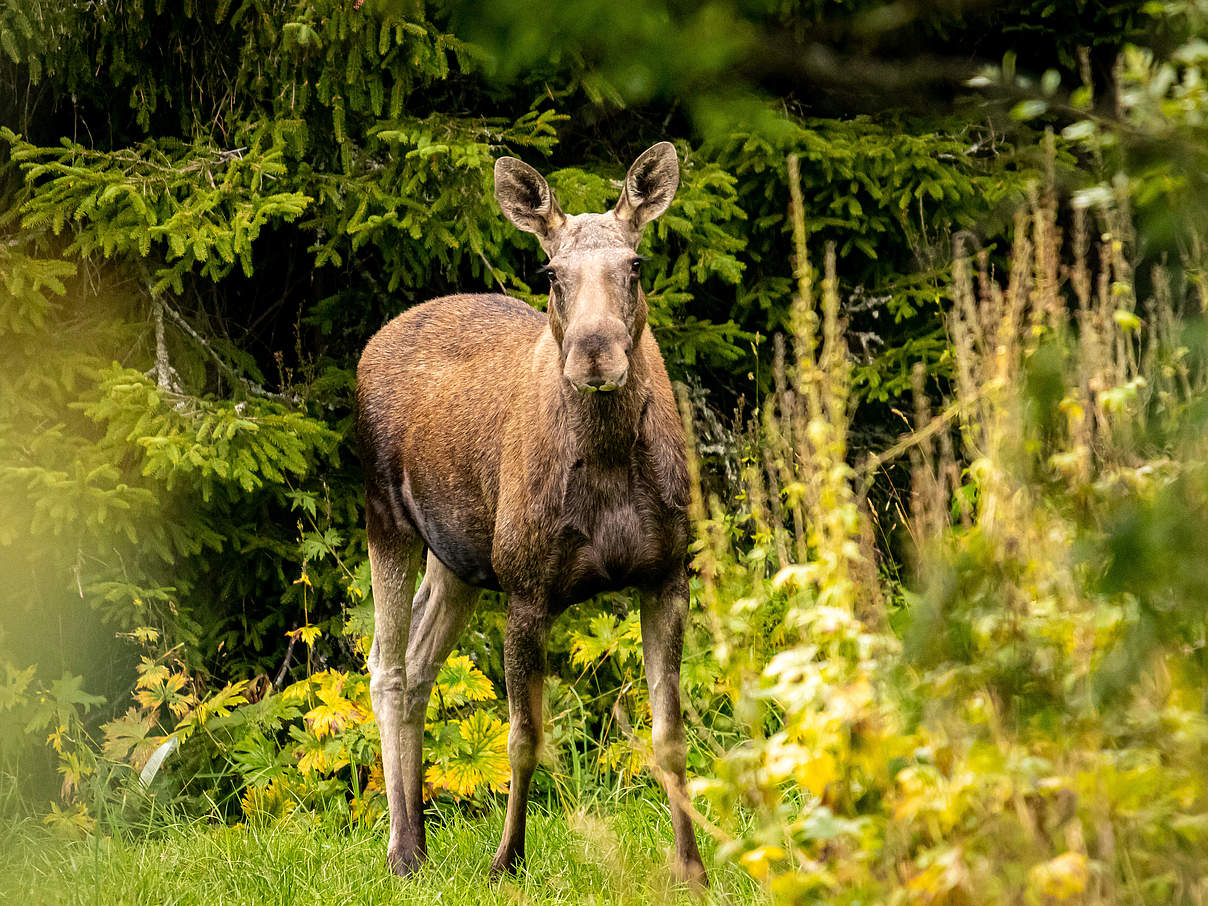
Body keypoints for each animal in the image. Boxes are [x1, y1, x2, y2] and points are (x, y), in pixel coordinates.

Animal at [352, 141, 705, 889]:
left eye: (636, 264)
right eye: (551, 272)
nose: (595, 352)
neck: (608, 468)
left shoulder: (667, 574)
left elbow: (669, 734)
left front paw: (691, 867)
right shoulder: (525, 586)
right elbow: (523, 736)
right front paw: (505, 859)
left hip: (457, 557)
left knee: (420, 663)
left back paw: (418, 840)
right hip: (385, 516)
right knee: (386, 665)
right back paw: (400, 850)